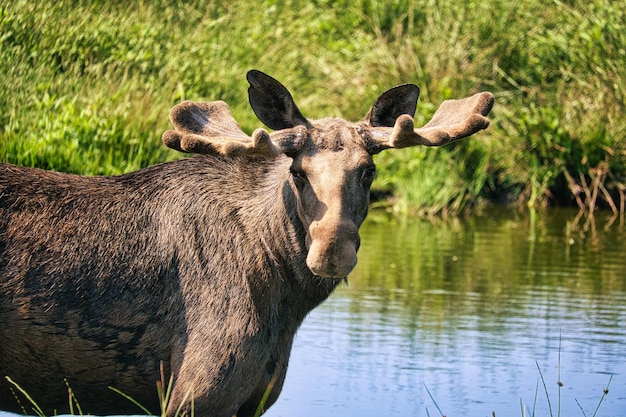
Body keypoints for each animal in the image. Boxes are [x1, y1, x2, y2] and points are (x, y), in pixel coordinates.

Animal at [0, 70, 492, 414]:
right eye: (297, 172)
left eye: (368, 171)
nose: (331, 252)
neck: (286, 306)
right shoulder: (198, 393)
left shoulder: (253, 398)